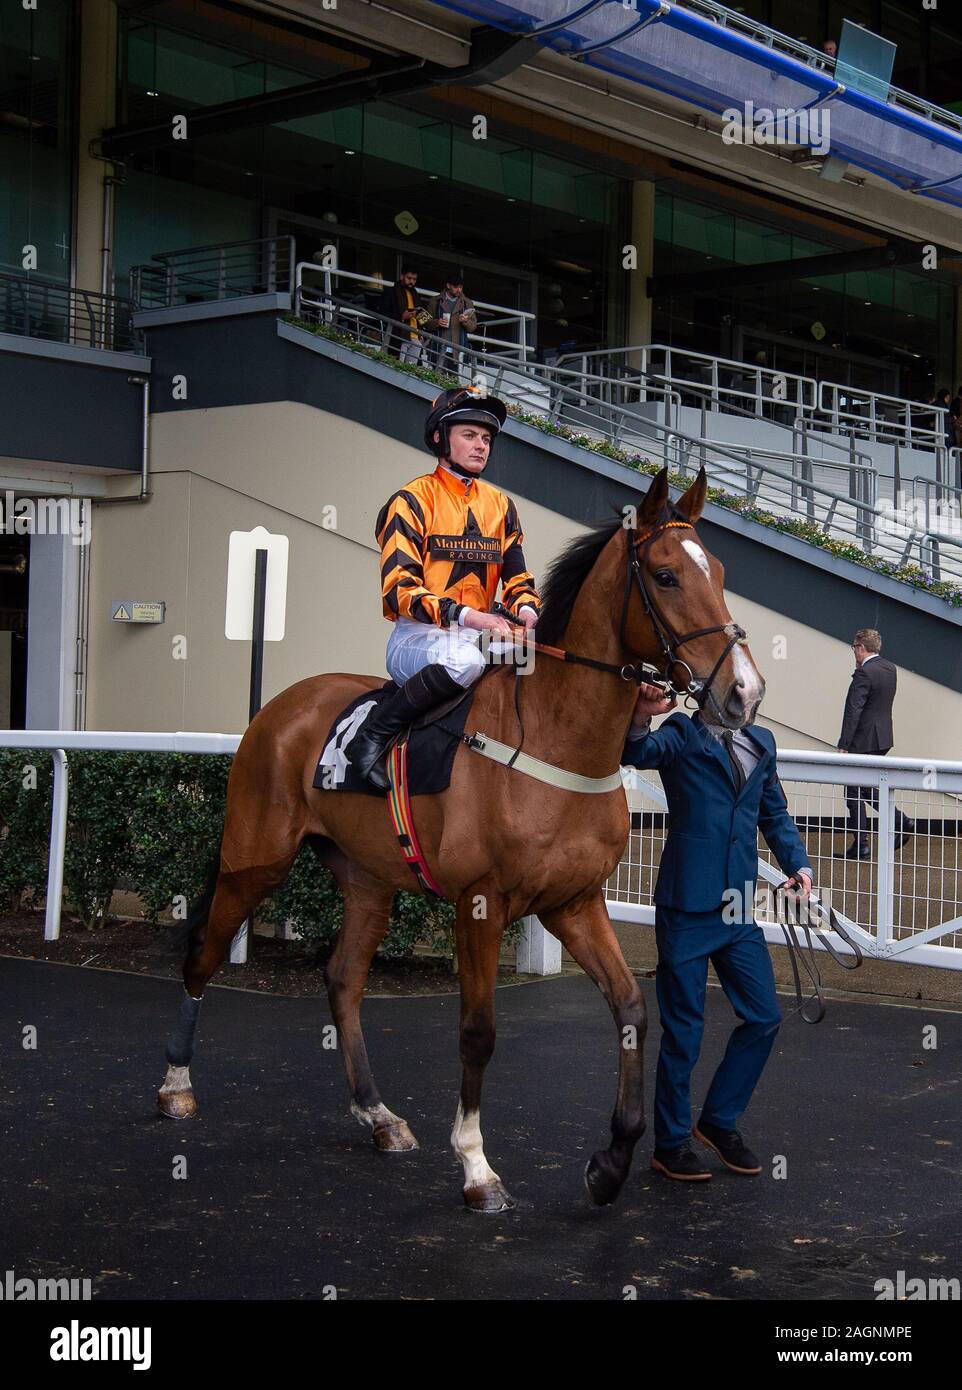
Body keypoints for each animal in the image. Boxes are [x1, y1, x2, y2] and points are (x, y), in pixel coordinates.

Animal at [155, 464, 767, 1206]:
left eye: (723, 572)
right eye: (667, 575)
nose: (744, 693)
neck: (557, 737)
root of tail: (279, 707)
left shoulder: (575, 903)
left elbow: (630, 1009)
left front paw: (612, 1162)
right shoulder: (481, 903)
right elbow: (478, 1032)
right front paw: (477, 1167)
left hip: (367, 879)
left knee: (343, 979)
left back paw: (378, 1115)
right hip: (254, 858)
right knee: (203, 955)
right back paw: (175, 1086)